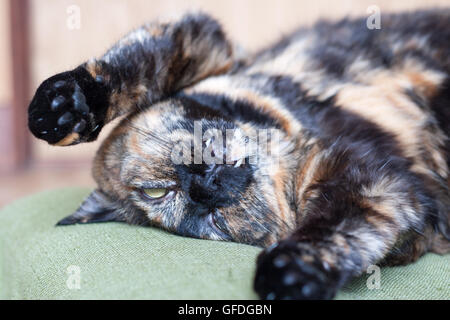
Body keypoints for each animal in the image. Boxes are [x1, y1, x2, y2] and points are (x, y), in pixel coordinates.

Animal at [28, 10, 450, 300]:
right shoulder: (382, 187)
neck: (291, 134)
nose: (204, 187)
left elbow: (135, 63)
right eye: (214, 221)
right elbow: (341, 228)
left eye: (155, 190)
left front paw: (62, 106)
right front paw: (292, 272)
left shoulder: (214, 46)